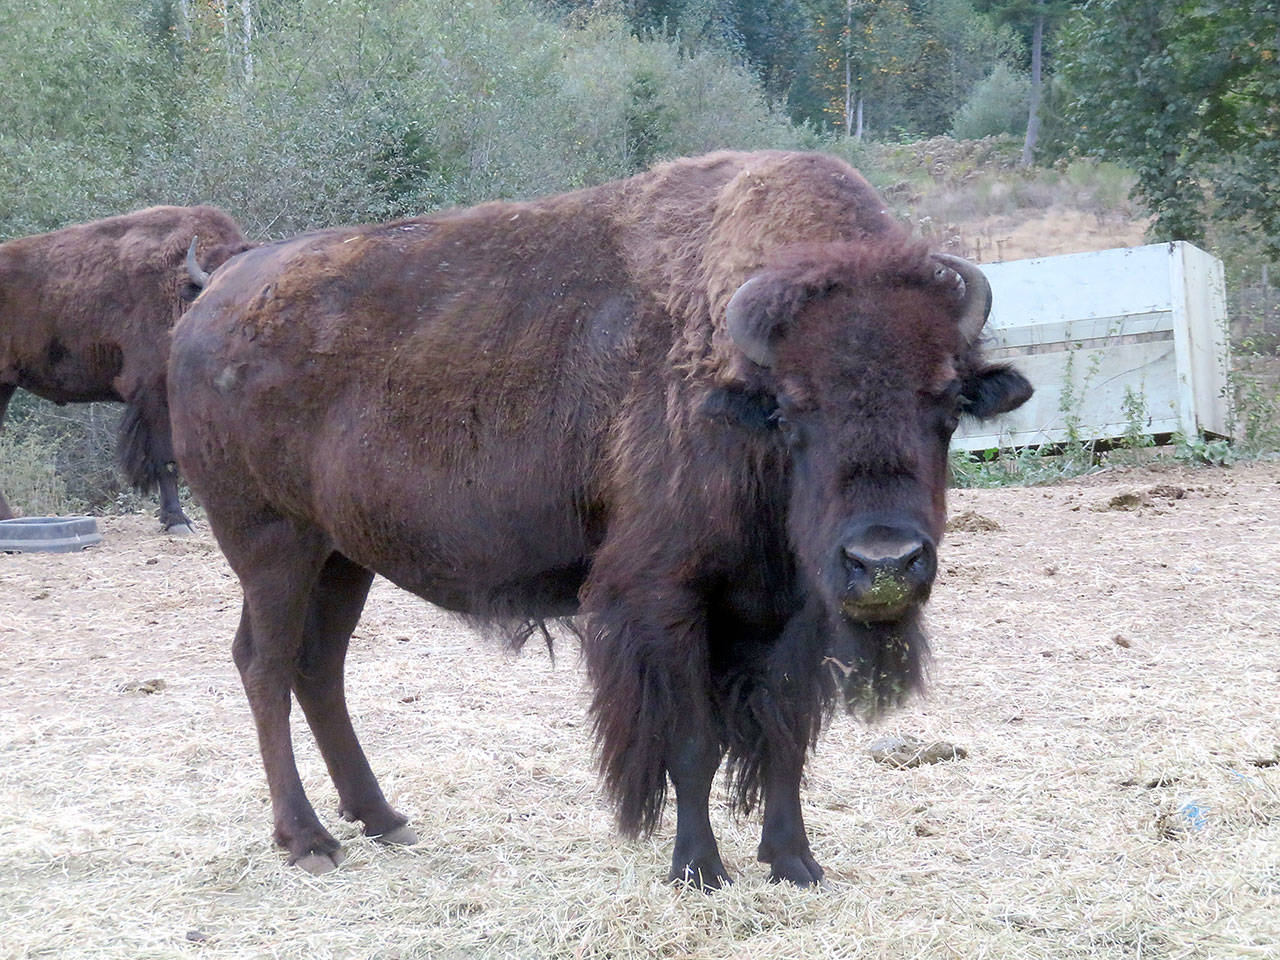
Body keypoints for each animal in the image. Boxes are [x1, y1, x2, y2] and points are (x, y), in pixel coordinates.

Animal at [167, 150, 1029, 885]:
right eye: (792, 411)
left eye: (949, 404)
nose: (884, 561)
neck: (734, 394)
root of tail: (215, 296)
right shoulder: (663, 601)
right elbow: (691, 743)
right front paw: (698, 870)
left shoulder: (790, 613)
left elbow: (783, 739)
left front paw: (795, 863)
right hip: (272, 546)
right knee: (265, 665)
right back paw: (308, 840)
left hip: (342, 558)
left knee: (319, 667)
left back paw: (381, 818)